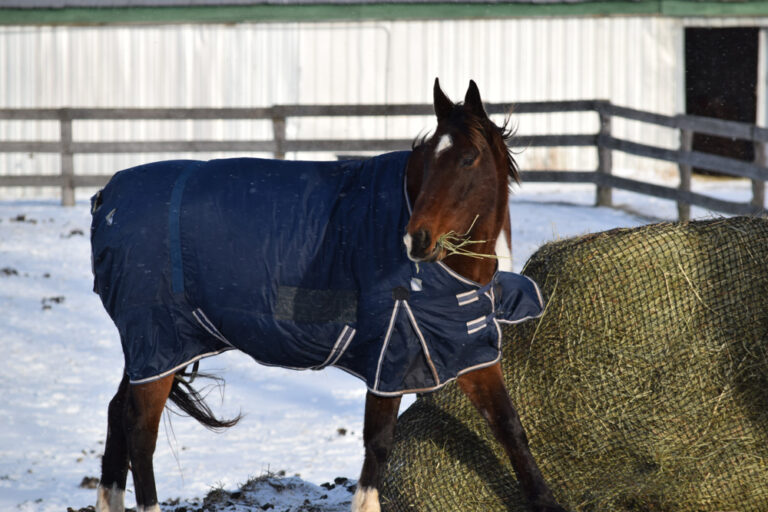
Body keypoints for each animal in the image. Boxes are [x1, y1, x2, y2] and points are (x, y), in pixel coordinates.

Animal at [93, 79, 568, 512]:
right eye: (430, 160)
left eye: (469, 158)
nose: (417, 239)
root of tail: (107, 198)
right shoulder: (390, 354)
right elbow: (378, 444)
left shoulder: (466, 350)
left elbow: (510, 427)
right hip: (155, 341)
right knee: (141, 433)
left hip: (156, 351)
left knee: (118, 416)